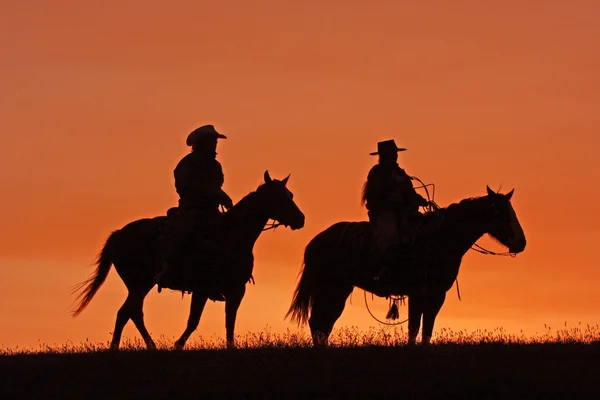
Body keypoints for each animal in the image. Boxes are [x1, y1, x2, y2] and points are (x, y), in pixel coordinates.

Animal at [72, 172, 304, 350]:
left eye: (290, 195)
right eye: (279, 198)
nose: (300, 219)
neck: (229, 237)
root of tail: (119, 234)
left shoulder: (236, 290)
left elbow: (230, 322)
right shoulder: (202, 289)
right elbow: (194, 321)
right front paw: (177, 345)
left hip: (142, 285)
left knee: (132, 312)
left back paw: (149, 346)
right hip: (139, 284)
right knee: (126, 312)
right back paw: (122, 347)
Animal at [286, 188, 524, 346]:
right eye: (501, 213)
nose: (521, 243)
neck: (439, 238)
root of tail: (315, 242)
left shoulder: (437, 294)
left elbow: (427, 327)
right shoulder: (418, 292)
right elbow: (414, 327)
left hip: (339, 289)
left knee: (323, 322)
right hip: (329, 288)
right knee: (319, 321)